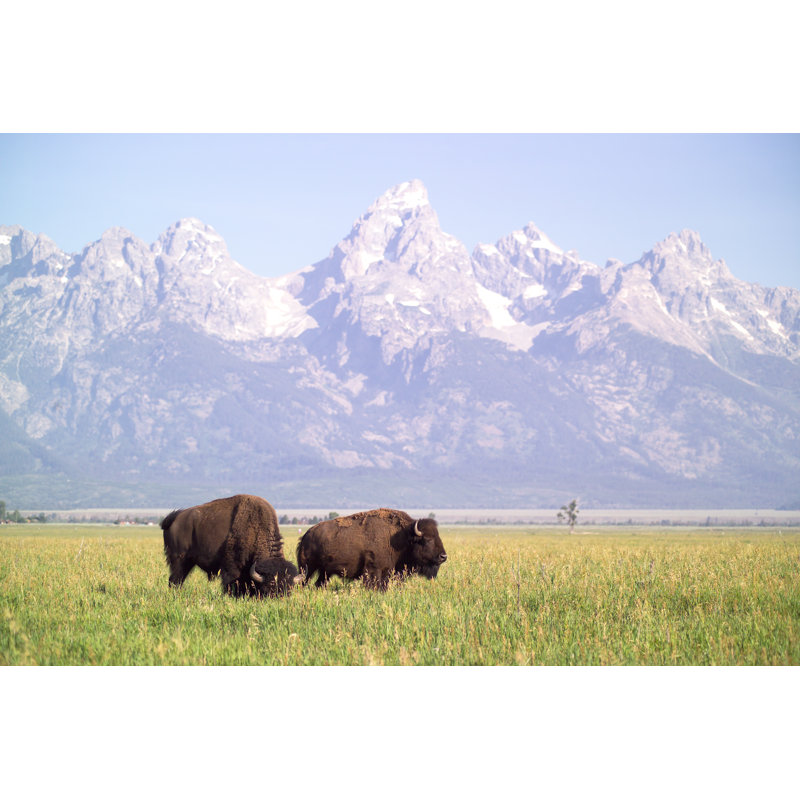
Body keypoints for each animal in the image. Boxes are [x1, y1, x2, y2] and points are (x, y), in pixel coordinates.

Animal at [160, 494, 300, 597]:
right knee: (175, 580)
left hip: (188, 562)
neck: (256, 527)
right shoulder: (232, 567)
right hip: (179, 560)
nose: (278, 599)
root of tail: (174, 519)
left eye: (289, 590)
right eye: (268, 588)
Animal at [297, 508, 447, 590]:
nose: (443, 557)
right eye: (427, 539)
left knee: (319, 583)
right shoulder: (374, 570)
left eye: (438, 535)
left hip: (324, 572)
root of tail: (306, 535)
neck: (402, 536)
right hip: (307, 569)